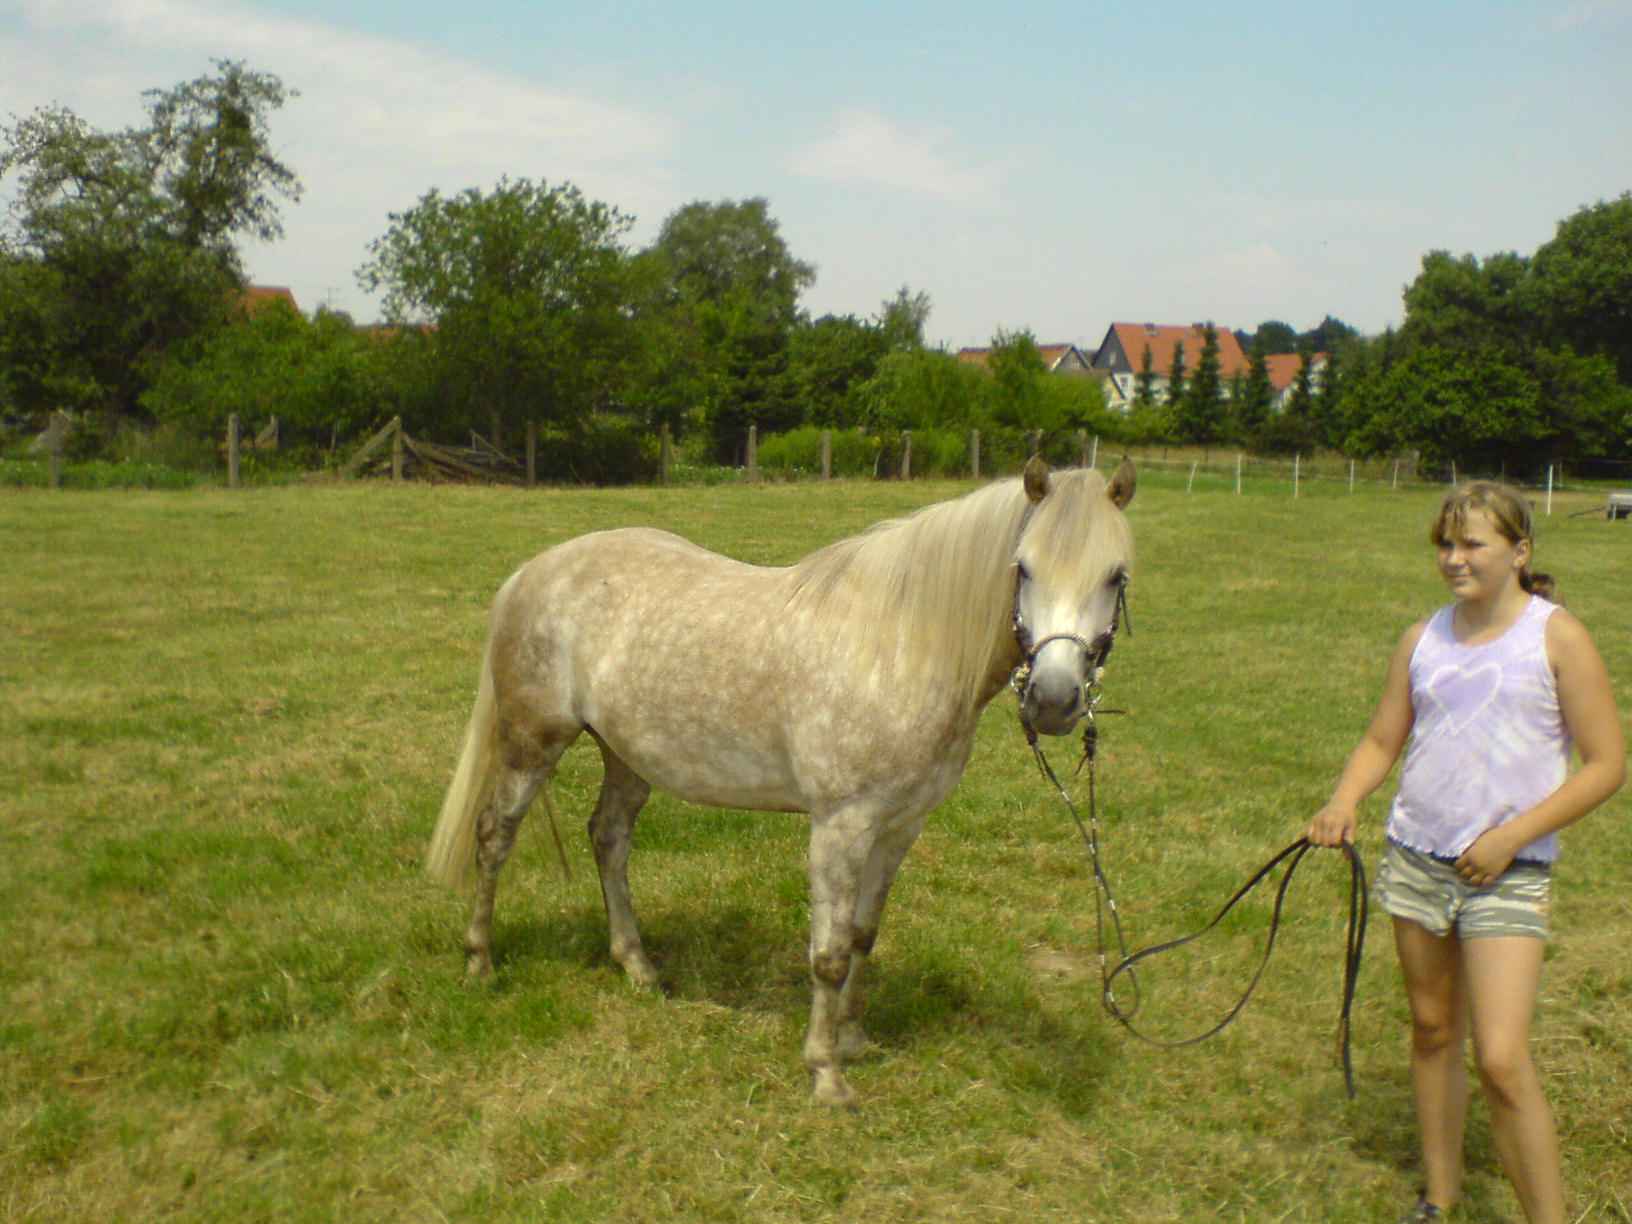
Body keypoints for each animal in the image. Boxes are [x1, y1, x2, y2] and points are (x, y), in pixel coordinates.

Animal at [426, 455, 1136, 1106]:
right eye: (1023, 568)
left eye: (1116, 575)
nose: (1052, 701)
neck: (902, 645)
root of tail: (534, 570)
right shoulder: (841, 826)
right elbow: (829, 954)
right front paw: (826, 1074)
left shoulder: (899, 827)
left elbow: (862, 936)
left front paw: (854, 1039)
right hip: (533, 743)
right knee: (495, 837)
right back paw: (480, 962)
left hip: (627, 756)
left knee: (608, 839)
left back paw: (638, 966)